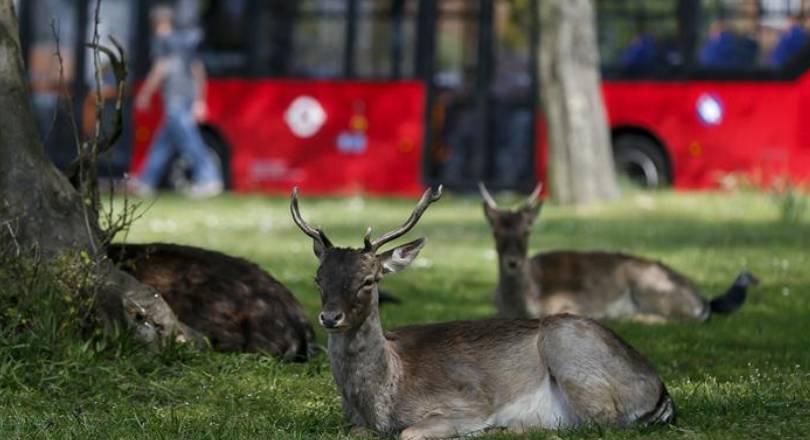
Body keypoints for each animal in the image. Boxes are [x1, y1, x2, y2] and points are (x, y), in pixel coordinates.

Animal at [288, 186, 668, 440]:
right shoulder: (357, 423)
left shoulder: (465, 402)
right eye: (318, 278)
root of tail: (660, 391)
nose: (330, 317)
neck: (381, 402)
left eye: (369, 280)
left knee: (600, 421)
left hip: (569, 349)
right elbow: (355, 432)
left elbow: (410, 432)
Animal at [476, 182, 756, 324]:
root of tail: (703, 299)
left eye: (527, 230)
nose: (513, 262)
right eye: (495, 231)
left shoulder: (569, 303)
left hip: (651, 287)